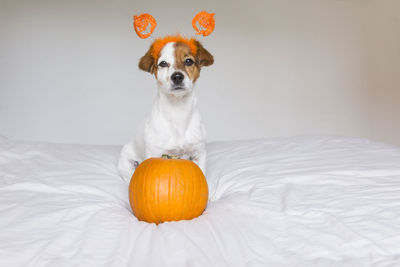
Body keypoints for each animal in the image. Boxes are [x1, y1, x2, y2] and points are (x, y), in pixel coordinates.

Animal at [118, 36, 214, 183]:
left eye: (188, 61)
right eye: (163, 63)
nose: (177, 76)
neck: (178, 111)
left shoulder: (199, 153)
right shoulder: (154, 154)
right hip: (126, 165)